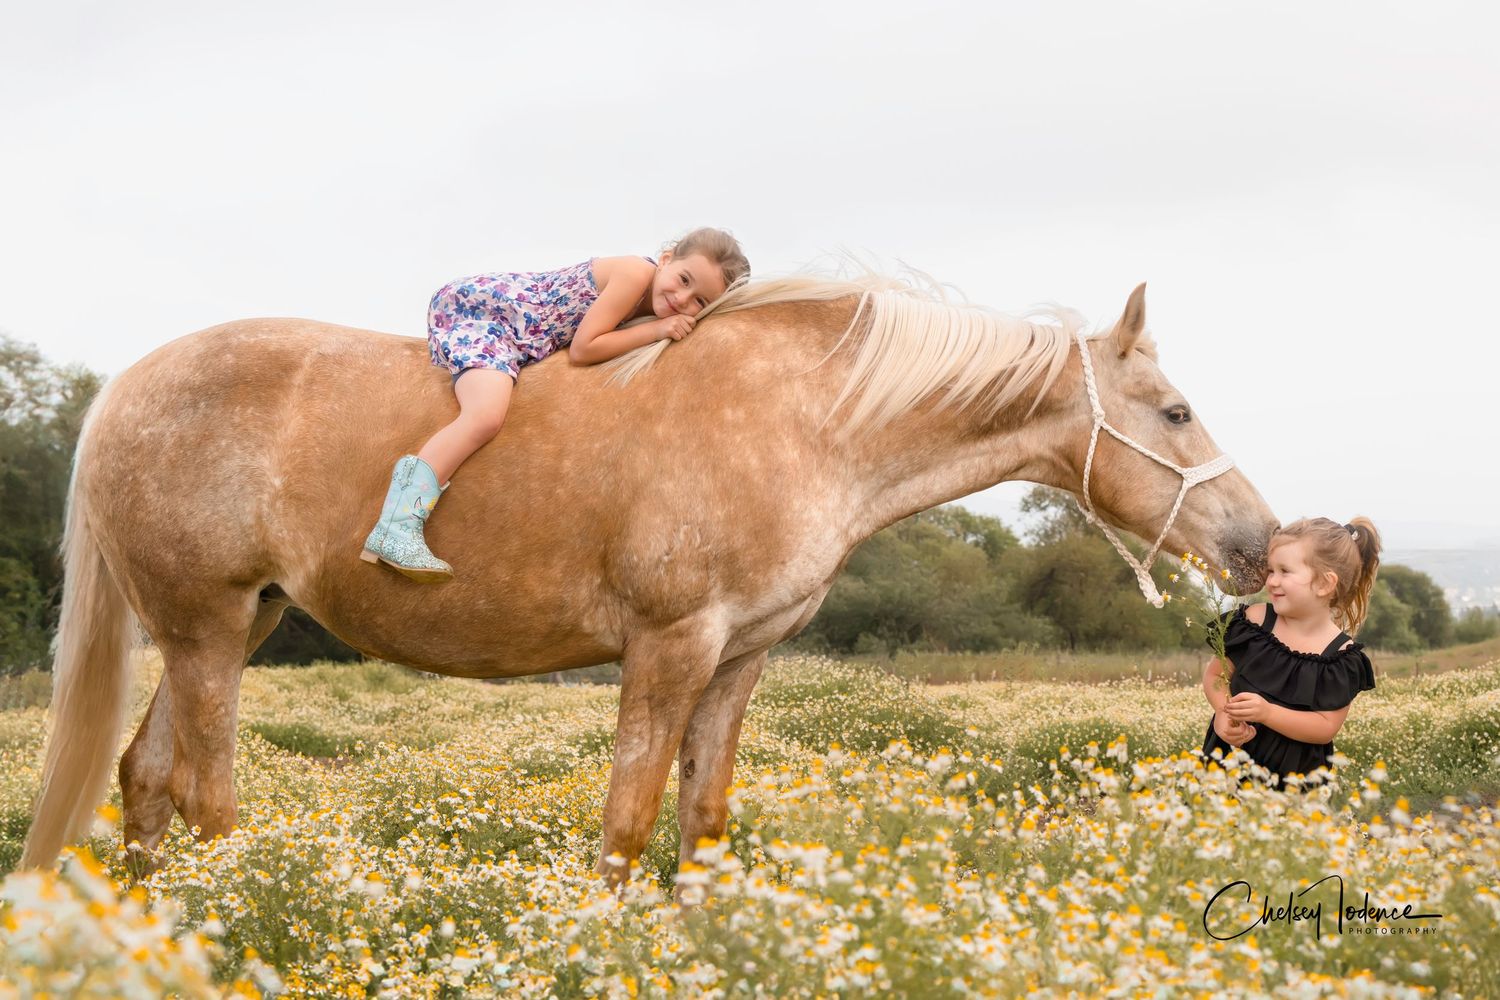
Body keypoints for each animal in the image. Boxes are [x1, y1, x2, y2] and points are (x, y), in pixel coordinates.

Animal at [21, 270, 1280, 895]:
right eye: (1174, 412)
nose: (1260, 542)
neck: (803, 417)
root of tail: (124, 388)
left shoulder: (739, 658)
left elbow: (702, 820)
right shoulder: (669, 647)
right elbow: (626, 824)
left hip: (230, 627)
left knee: (142, 780)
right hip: (206, 630)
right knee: (207, 800)